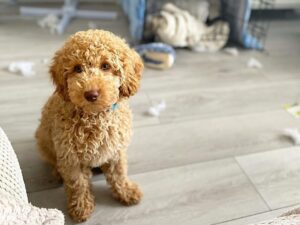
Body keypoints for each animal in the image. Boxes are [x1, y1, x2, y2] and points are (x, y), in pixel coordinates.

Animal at [35, 29, 143, 221]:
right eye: (78, 68)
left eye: (106, 66)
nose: (91, 94)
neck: (95, 116)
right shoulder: (71, 158)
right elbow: (78, 184)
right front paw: (81, 208)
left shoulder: (116, 150)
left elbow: (119, 174)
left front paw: (126, 192)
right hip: (44, 141)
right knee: (52, 160)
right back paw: (57, 172)